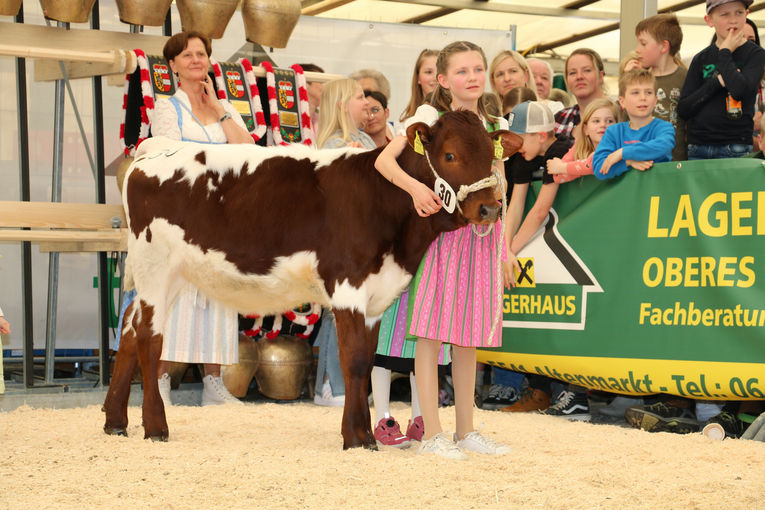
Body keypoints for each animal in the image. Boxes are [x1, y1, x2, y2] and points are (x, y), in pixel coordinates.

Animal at [103, 110, 520, 446]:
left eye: (493, 156)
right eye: (449, 155)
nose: (489, 208)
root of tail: (154, 148)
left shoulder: (375, 296)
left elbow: (366, 361)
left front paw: (361, 434)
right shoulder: (349, 285)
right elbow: (354, 361)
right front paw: (357, 437)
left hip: (170, 276)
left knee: (129, 330)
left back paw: (115, 421)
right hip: (156, 267)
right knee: (148, 339)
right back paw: (155, 427)